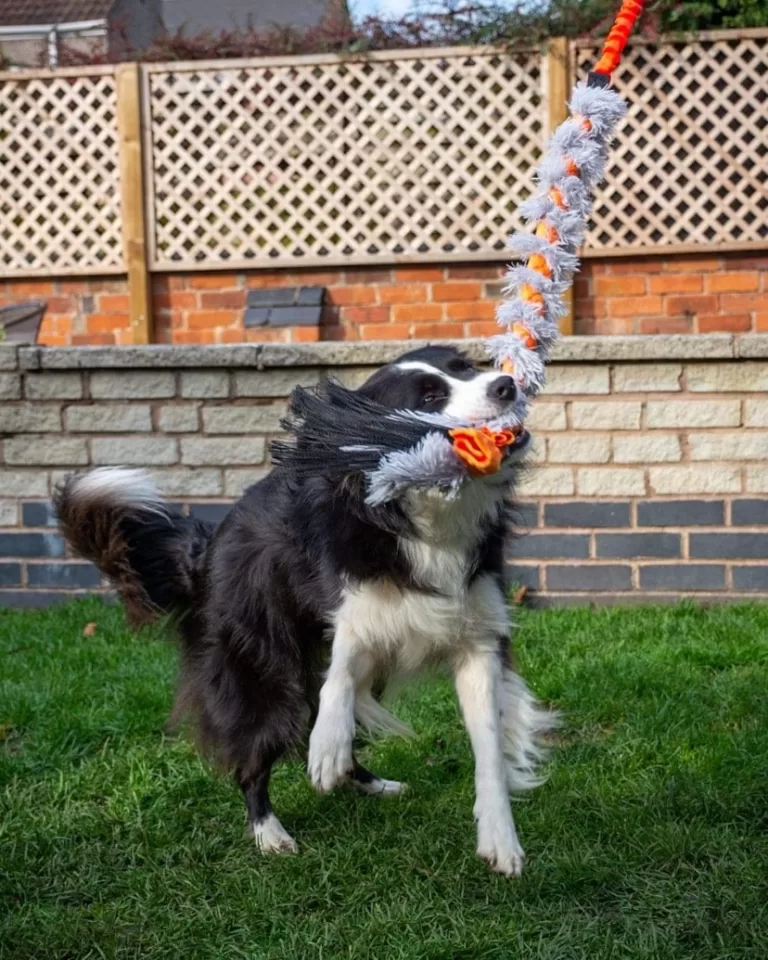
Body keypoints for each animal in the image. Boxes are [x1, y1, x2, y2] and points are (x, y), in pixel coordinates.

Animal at [57, 344, 556, 876]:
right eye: (429, 397)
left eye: (466, 366)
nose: (506, 385)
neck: (425, 515)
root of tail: (207, 545)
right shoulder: (353, 609)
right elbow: (341, 670)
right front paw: (325, 748)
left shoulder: (477, 634)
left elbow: (489, 742)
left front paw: (500, 839)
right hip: (259, 661)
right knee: (258, 744)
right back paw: (269, 830)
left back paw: (369, 782)